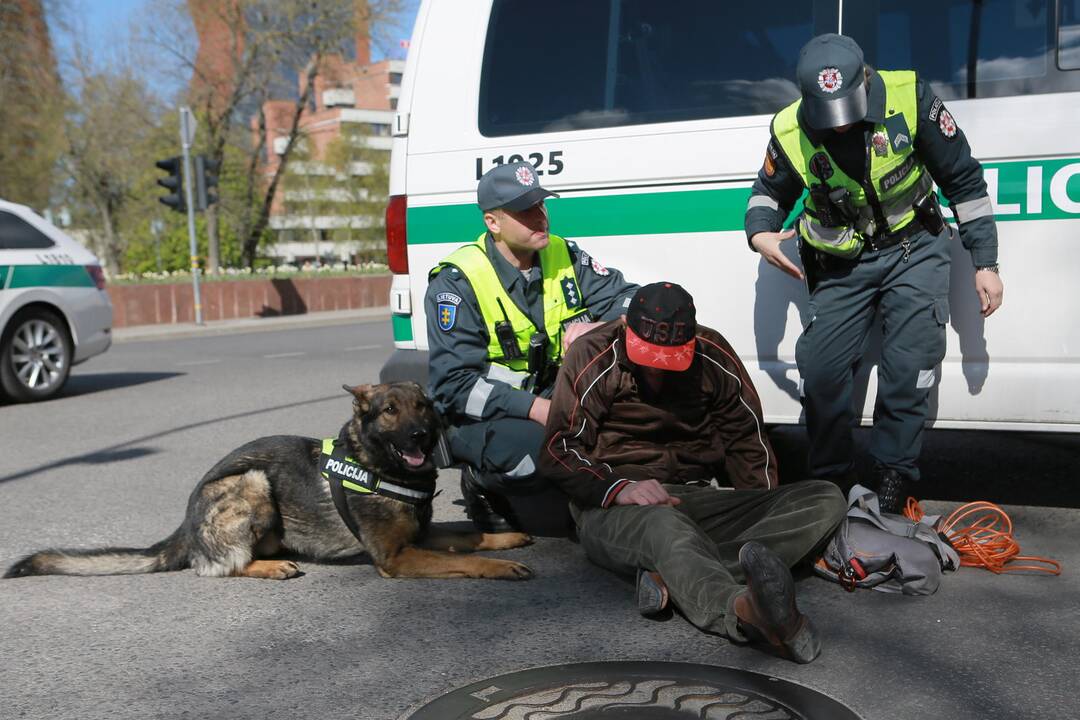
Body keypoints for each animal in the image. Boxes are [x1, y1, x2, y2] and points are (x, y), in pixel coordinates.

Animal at [4, 382, 533, 578]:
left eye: (423, 406)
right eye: (389, 411)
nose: (421, 435)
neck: (380, 467)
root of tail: (186, 523)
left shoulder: (421, 537)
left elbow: (468, 535)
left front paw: (505, 538)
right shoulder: (396, 558)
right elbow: (465, 559)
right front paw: (500, 566)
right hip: (252, 483)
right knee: (219, 567)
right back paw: (270, 567)